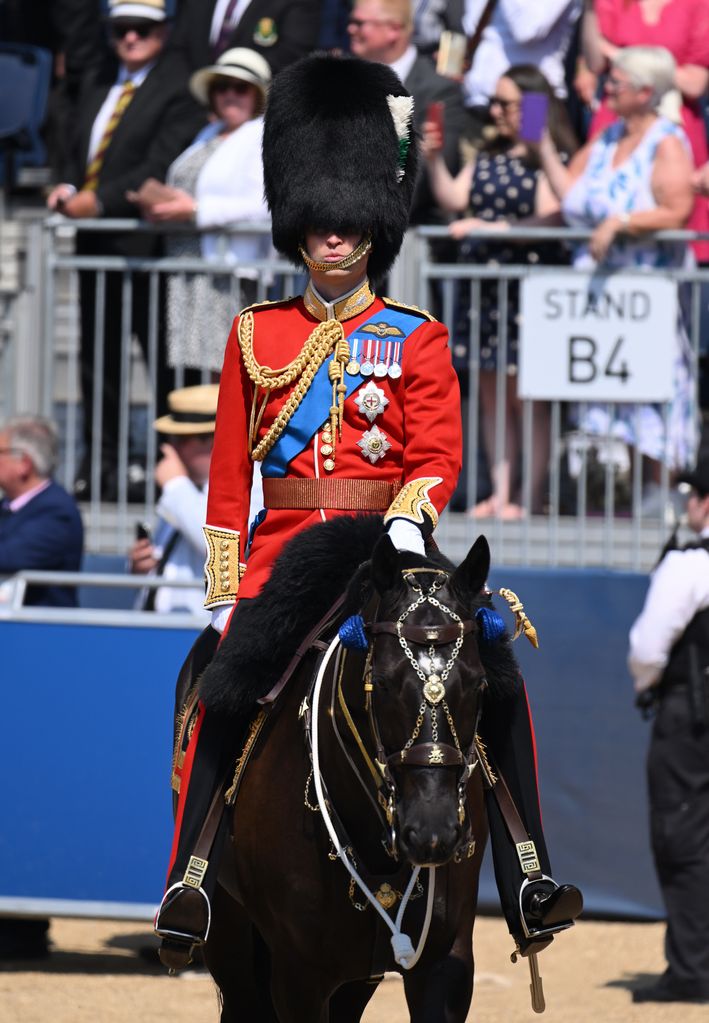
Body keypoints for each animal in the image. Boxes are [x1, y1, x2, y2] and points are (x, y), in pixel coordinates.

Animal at [191, 519, 517, 1023]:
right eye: (380, 684)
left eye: (479, 684)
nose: (433, 832)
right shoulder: (298, 978)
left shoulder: (444, 963)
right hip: (229, 935)